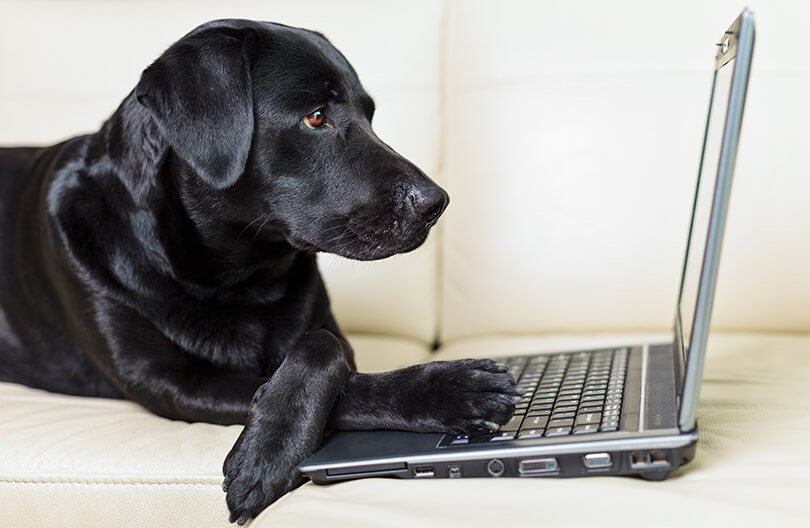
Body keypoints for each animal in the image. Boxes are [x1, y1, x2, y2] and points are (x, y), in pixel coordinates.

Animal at [0, 19, 516, 524]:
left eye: (369, 114)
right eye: (315, 117)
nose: (437, 203)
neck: (238, 279)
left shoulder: (328, 332)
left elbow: (319, 344)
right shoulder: (166, 382)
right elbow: (330, 381)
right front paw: (453, 390)